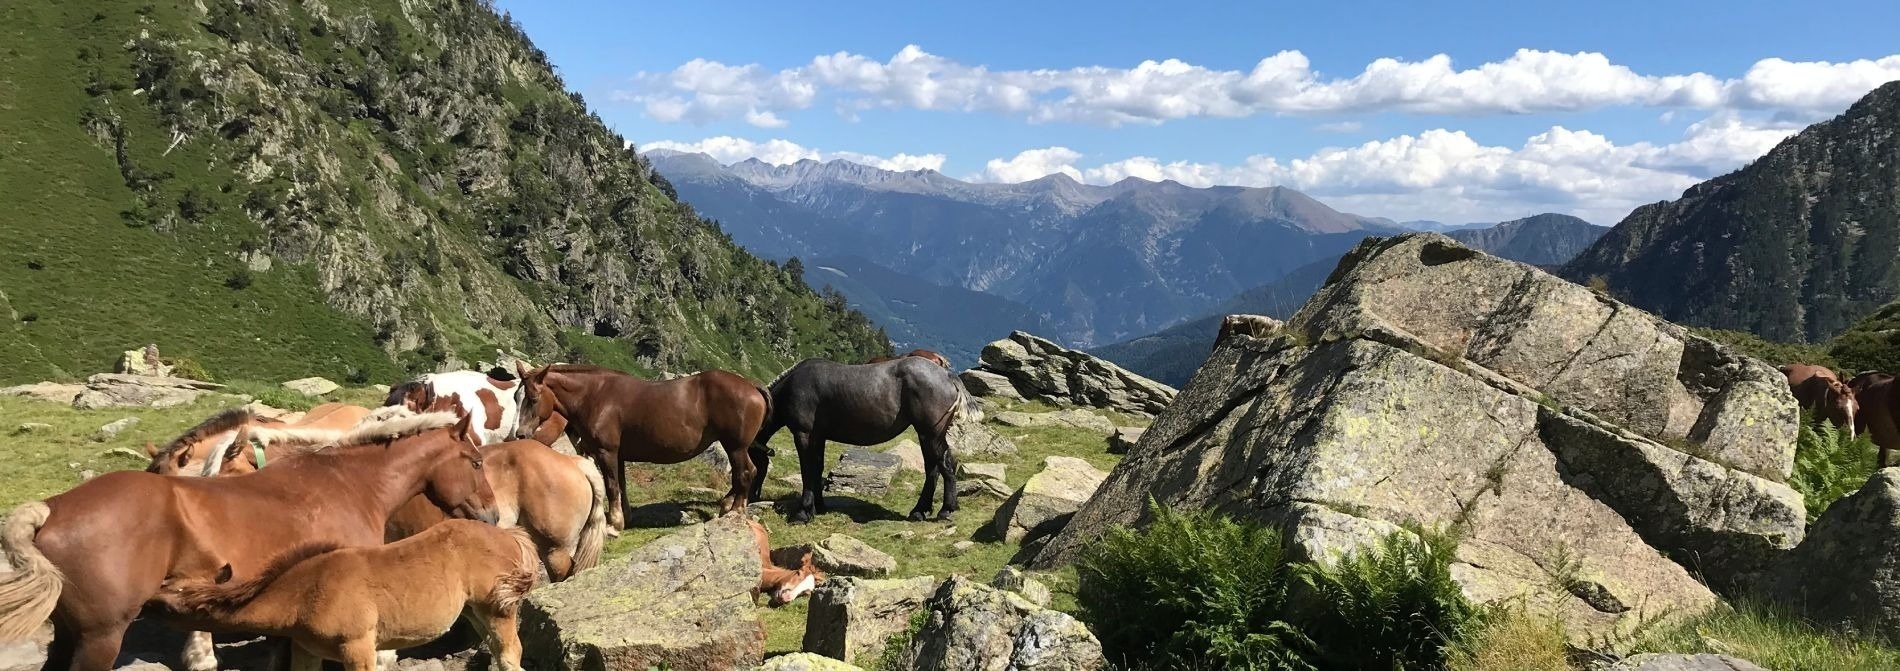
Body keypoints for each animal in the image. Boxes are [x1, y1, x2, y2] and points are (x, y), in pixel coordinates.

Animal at [0, 412, 496, 671]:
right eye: (474, 462)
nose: (492, 515)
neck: (347, 483)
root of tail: (49, 511)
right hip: (100, 638)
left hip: (70, 636)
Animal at [151, 519, 537, 671]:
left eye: (165, 600)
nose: (142, 604)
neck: (306, 592)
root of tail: (509, 535)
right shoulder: (307, 648)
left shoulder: (358, 646)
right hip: (474, 610)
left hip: (497, 609)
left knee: (509, 655)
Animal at [511, 363, 771, 528]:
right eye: (516, 397)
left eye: (533, 399)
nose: (520, 434)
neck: (595, 396)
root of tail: (751, 386)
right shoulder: (618, 455)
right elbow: (621, 485)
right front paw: (624, 518)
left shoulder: (606, 452)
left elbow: (612, 486)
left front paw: (614, 524)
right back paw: (727, 506)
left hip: (735, 446)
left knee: (746, 473)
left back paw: (736, 511)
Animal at [756, 357, 981, 524]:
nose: (753, 495)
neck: (793, 385)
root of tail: (947, 375)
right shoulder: (818, 437)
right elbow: (817, 468)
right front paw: (818, 507)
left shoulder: (804, 434)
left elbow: (807, 471)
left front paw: (803, 513)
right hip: (928, 435)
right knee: (934, 468)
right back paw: (919, 511)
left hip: (931, 433)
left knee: (945, 465)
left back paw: (945, 510)